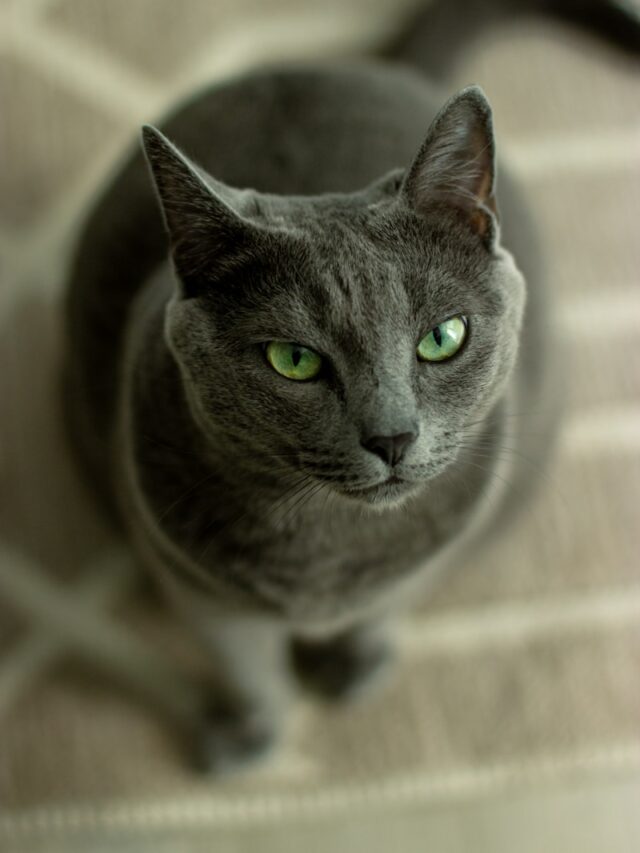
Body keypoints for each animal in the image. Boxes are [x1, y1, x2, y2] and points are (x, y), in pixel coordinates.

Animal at [61, 1, 640, 772]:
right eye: (293, 360)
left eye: (443, 337)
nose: (392, 437)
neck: (327, 550)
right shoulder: (193, 585)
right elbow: (247, 665)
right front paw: (250, 733)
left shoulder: (435, 550)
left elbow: (387, 607)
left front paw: (354, 666)